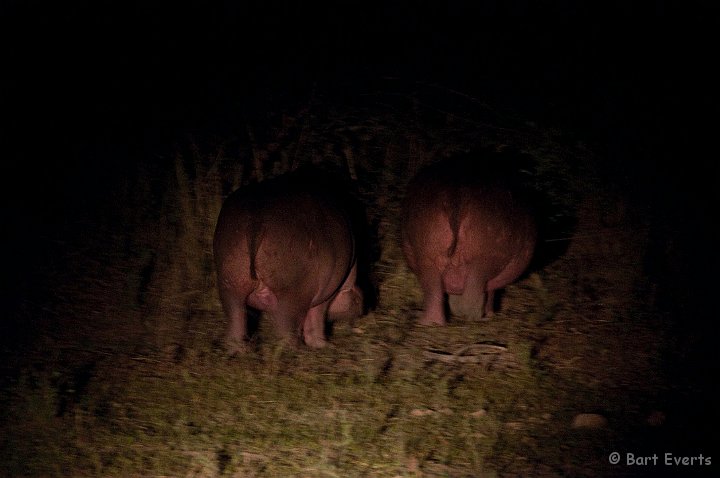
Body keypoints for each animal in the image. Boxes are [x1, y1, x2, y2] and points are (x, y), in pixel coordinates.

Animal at [211, 168, 362, 352]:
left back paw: (238, 351)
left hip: (229, 282)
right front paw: (323, 345)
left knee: (236, 317)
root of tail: (255, 218)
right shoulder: (327, 293)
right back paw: (297, 351)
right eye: (356, 299)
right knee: (287, 326)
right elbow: (316, 317)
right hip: (292, 292)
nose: (365, 305)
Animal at [402, 153, 536, 324]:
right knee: (473, 294)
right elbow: (489, 294)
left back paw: (428, 322)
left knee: (433, 291)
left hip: (426, 254)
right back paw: (477, 319)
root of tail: (455, 193)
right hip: (484, 258)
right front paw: (490, 314)